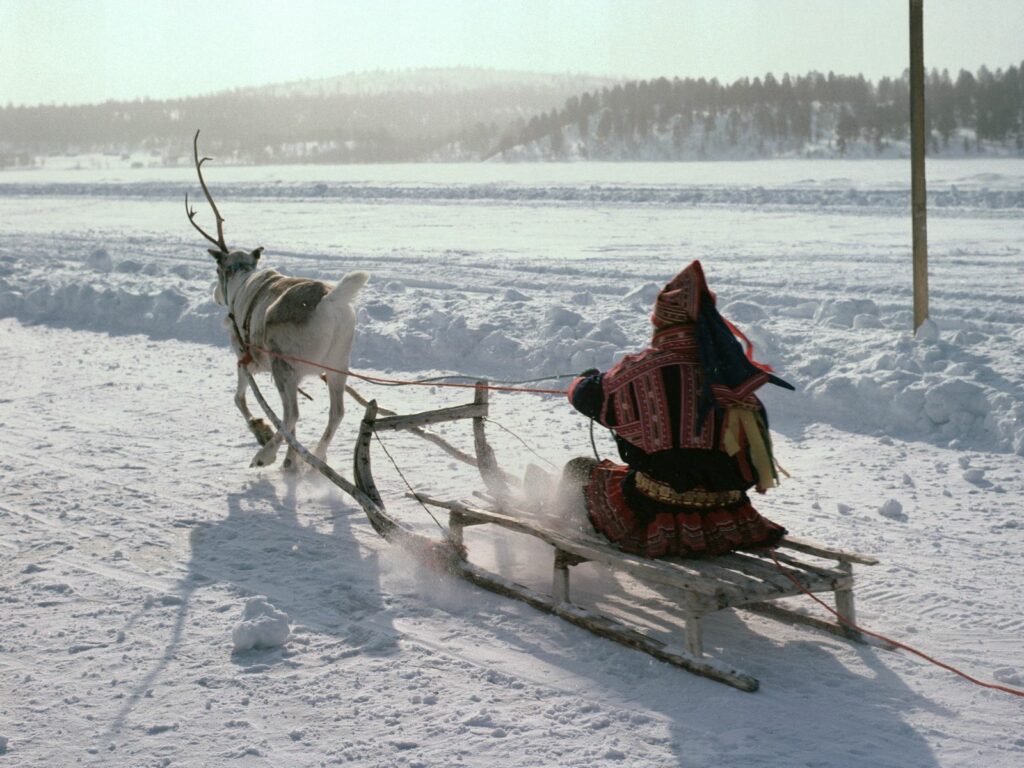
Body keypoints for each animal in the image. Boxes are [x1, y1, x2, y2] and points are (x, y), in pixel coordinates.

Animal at [186, 130, 369, 471]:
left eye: (217, 270)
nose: (215, 295)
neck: (242, 277)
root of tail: (329, 299)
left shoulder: (244, 357)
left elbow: (241, 399)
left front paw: (261, 431)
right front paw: (287, 453)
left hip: (285, 366)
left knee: (292, 414)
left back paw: (267, 455)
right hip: (338, 364)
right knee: (335, 413)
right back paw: (311, 458)